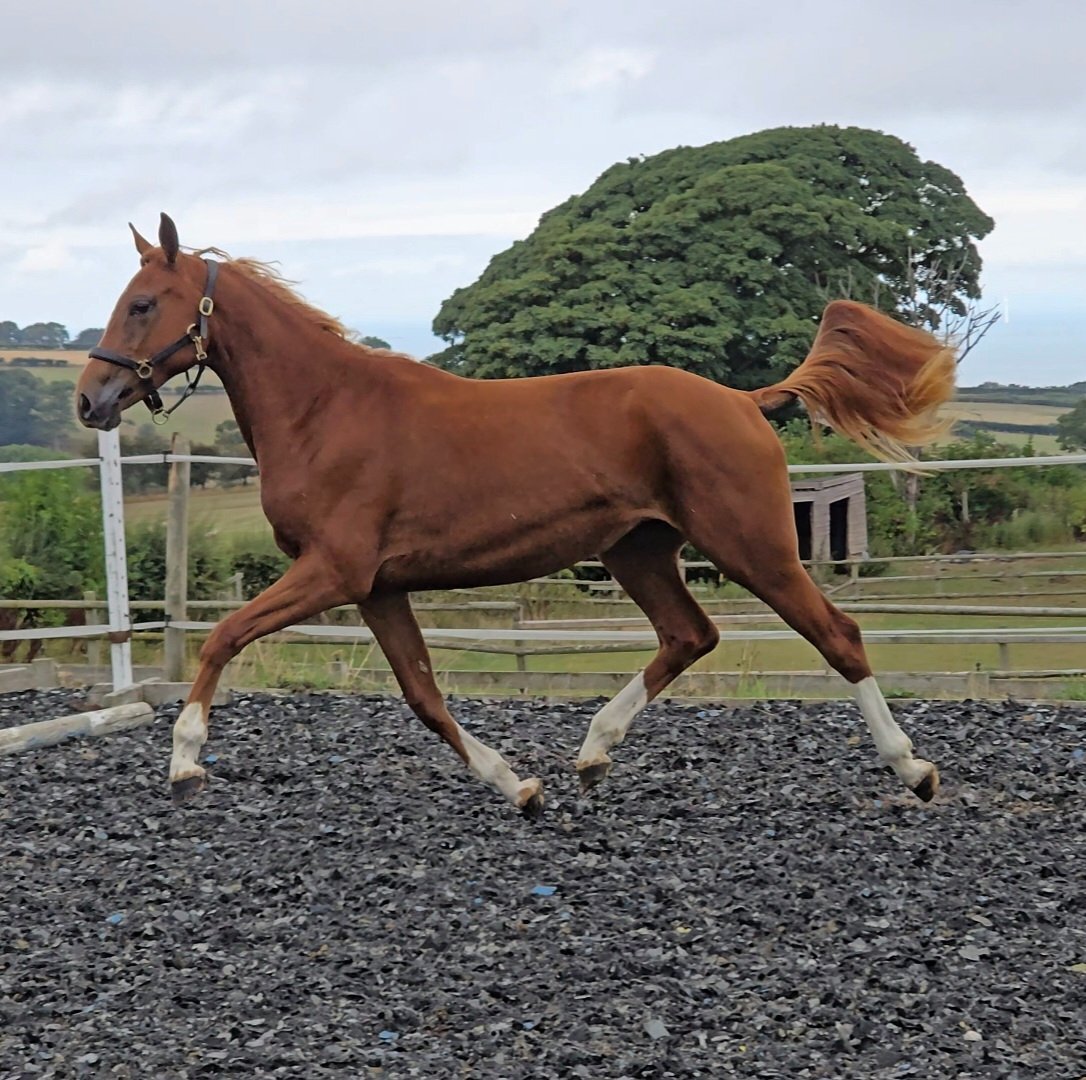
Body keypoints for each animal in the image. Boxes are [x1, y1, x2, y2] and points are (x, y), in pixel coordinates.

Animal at [77, 213, 955, 816]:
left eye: (144, 304)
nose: (90, 399)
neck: (325, 410)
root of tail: (743, 399)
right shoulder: (378, 588)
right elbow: (424, 697)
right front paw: (518, 786)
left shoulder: (333, 571)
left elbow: (224, 636)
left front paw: (185, 763)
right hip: (638, 551)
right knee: (689, 635)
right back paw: (593, 753)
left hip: (750, 545)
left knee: (837, 635)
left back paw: (913, 769)